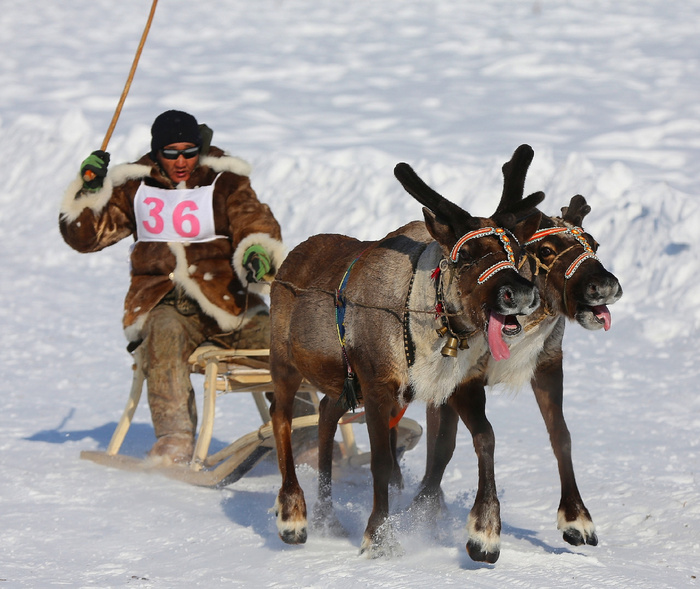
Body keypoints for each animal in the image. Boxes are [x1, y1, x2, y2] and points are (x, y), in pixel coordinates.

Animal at [268, 158, 546, 557]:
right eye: (465, 256)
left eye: (517, 253)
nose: (519, 293)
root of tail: (286, 264)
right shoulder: (377, 385)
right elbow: (382, 462)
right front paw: (378, 536)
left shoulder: (459, 387)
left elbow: (481, 440)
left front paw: (483, 532)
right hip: (285, 363)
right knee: (281, 416)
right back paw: (293, 516)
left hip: (342, 383)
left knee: (324, 414)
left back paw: (328, 518)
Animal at [412, 144, 623, 563]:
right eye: (546, 249)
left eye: (595, 244)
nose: (605, 286)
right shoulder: (464, 378)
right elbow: (482, 438)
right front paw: (484, 531)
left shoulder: (548, 364)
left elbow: (561, 435)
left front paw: (577, 518)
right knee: (438, 448)